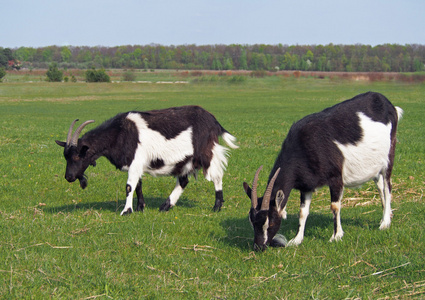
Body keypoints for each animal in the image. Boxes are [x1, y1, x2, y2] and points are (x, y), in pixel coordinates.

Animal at [54, 105, 237, 216]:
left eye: (77, 156)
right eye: (65, 156)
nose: (69, 177)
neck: (119, 133)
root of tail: (214, 121)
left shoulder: (136, 161)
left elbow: (129, 186)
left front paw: (126, 211)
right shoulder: (135, 165)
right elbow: (138, 186)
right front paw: (140, 208)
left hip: (206, 153)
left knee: (217, 176)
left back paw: (216, 207)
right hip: (186, 160)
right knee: (183, 181)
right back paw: (166, 206)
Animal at [243, 92, 402, 252]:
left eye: (270, 222)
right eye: (252, 222)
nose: (259, 246)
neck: (304, 146)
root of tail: (388, 104)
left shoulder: (336, 178)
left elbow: (335, 206)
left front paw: (336, 236)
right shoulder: (306, 185)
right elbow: (303, 212)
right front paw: (297, 239)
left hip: (389, 154)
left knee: (387, 187)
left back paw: (384, 223)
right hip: (375, 164)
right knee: (380, 186)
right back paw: (387, 216)